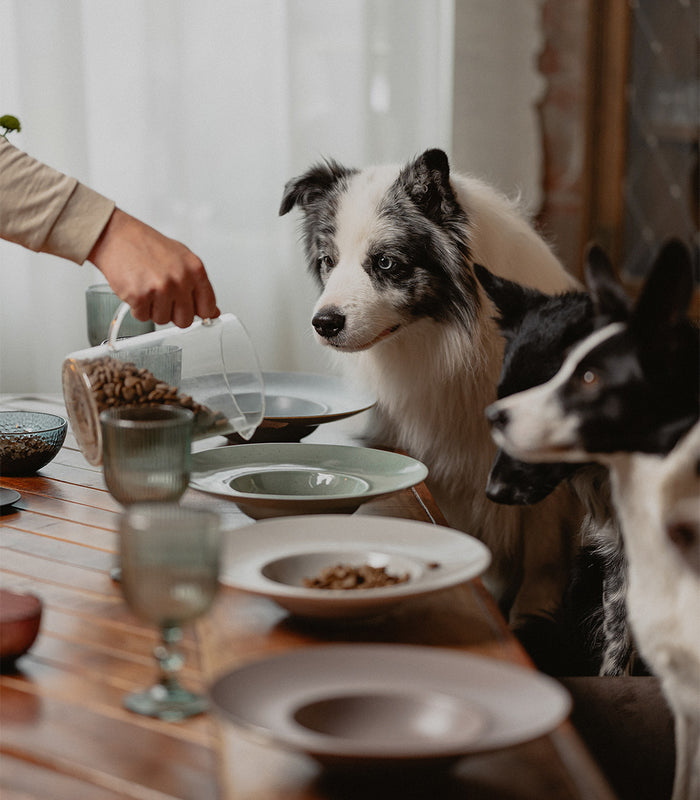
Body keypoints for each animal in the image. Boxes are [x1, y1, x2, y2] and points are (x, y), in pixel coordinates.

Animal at [282, 147, 584, 628]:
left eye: (385, 262)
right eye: (328, 261)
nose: (324, 323)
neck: (444, 342)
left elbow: (543, 549)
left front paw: (529, 615)